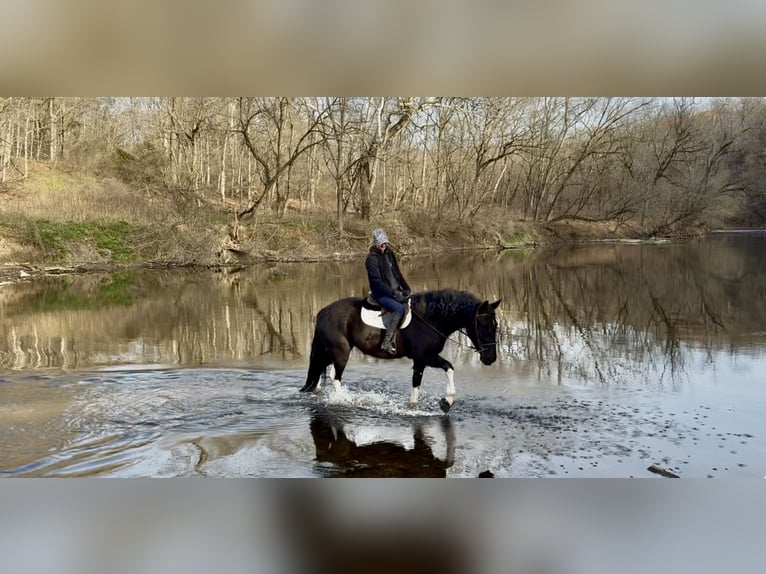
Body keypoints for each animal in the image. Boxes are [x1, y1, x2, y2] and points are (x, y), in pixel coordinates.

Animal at [300, 289, 501, 412]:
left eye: (495, 325)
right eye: (484, 325)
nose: (490, 358)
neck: (430, 318)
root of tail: (324, 312)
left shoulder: (420, 360)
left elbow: (416, 385)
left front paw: (413, 407)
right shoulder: (425, 356)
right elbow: (449, 367)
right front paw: (447, 401)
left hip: (328, 352)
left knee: (320, 373)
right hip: (340, 352)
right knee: (335, 377)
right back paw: (346, 401)